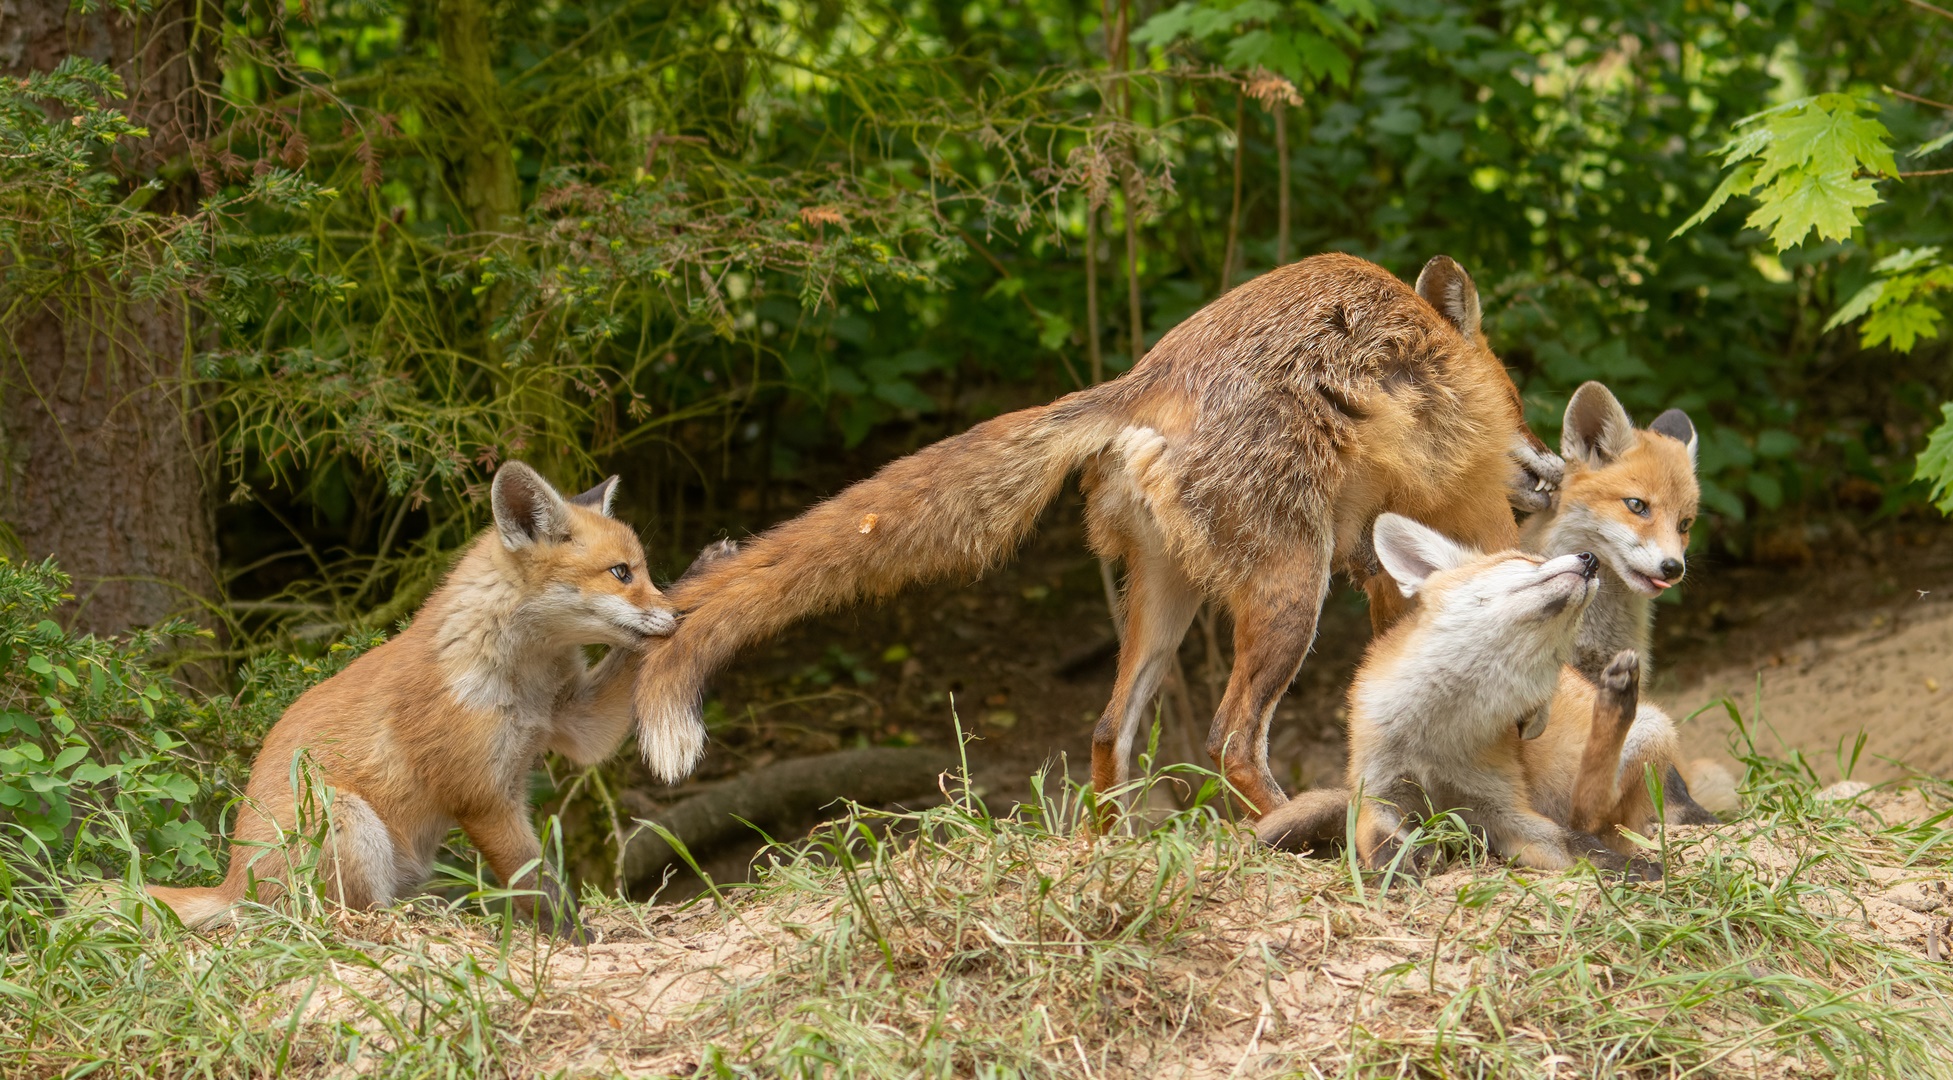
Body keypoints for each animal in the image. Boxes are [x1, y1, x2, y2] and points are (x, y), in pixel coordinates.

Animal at [632, 251, 1562, 812]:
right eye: (1518, 396)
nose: (1550, 468)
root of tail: (1142, 380)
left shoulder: (1373, 564)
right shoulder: (1425, 534)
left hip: (1166, 597)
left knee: (1109, 732)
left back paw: (1109, 858)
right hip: (1288, 593)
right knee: (1228, 738)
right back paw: (1293, 833)